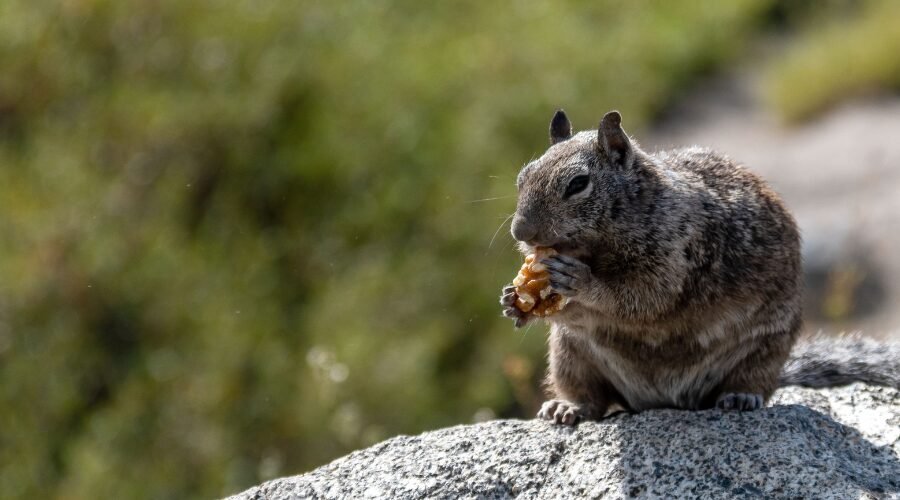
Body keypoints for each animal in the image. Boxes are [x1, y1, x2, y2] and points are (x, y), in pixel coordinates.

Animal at [500, 109, 900, 425]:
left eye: (578, 184)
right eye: (522, 177)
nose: (521, 232)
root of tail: (663, 400)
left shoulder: (674, 256)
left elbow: (640, 298)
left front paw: (581, 282)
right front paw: (513, 302)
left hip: (765, 349)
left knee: (752, 382)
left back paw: (740, 397)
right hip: (569, 356)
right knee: (593, 400)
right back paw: (568, 408)